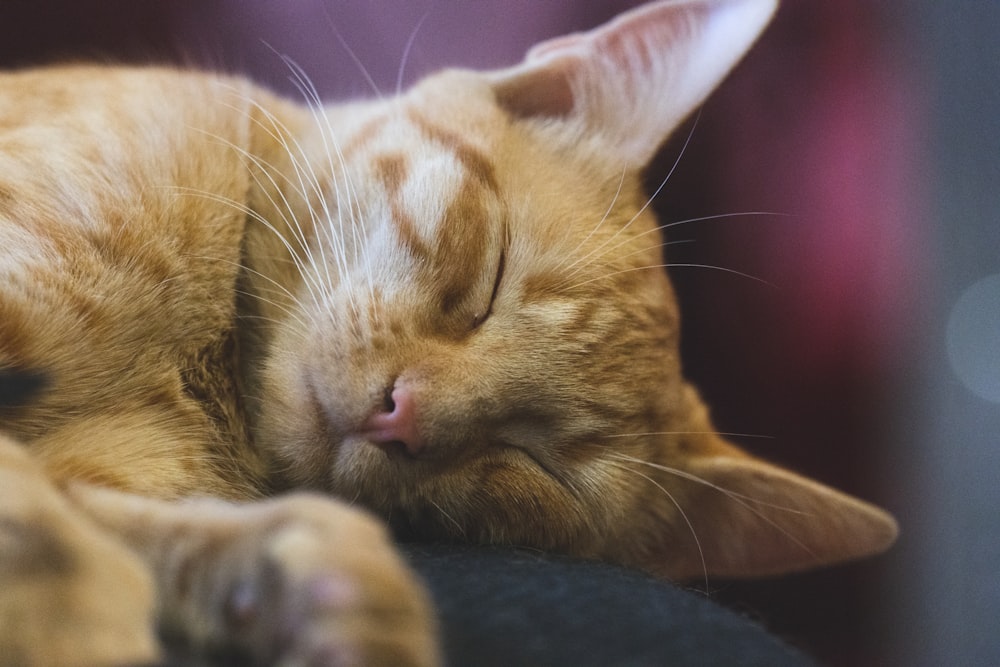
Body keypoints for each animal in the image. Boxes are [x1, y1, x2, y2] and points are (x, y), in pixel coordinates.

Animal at [0, 0, 900, 664]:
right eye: (490, 279)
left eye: (535, 461)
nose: (400, 414)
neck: (201, 368)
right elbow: (35, 515)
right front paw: (68, 607)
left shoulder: (111, 479)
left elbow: (142, 531)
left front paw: (332, 599)